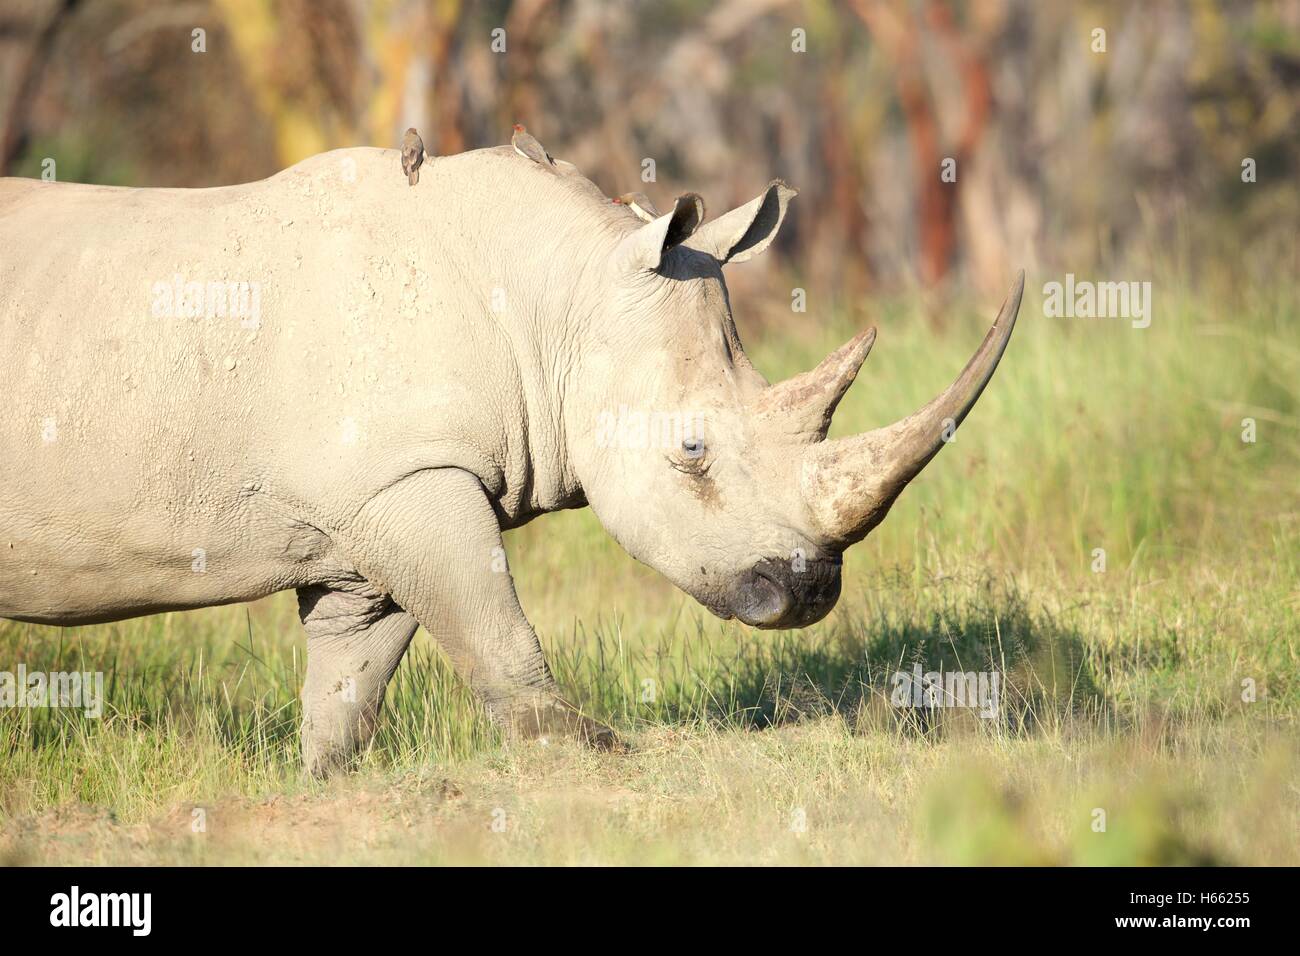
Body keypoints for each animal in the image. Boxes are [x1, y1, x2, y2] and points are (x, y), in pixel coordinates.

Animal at [0, 149, 1019, 780]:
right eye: (692, 452)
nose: (807, 592)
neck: (554, 298)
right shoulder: (409, 481)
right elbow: (493, 624)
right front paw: (586, 751)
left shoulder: (373, 498)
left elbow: (352, 677)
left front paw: (326, 780)